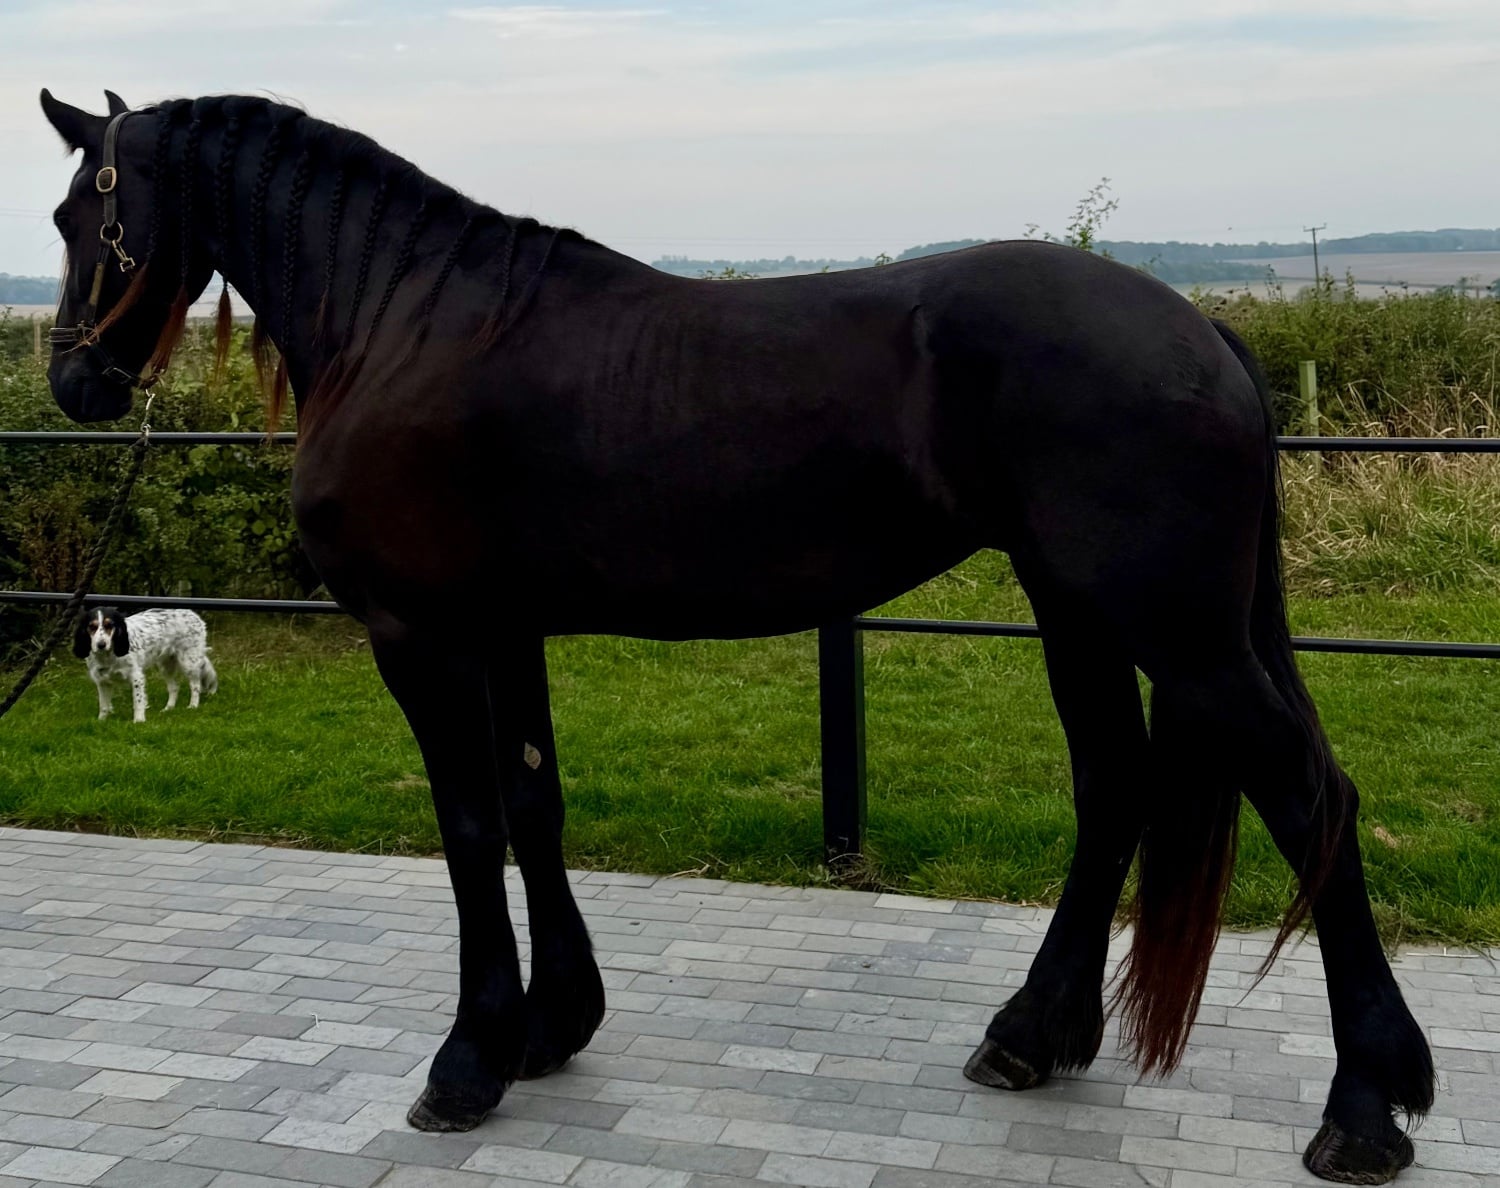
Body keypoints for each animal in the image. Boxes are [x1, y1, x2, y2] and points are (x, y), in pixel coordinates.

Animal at [39, 90, 1434, 1184]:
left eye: (75, 217)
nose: (71, 383)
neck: (408, 324)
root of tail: (1204, 330)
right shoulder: (508, 630)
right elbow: (535, 807)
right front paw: (553, 1027)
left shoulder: (425, 636)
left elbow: (471, 828)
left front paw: (468, 1059)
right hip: (1080, 613)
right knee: (1116, 791)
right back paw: (1030, 1038)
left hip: (1179, 634)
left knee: (1314, 798)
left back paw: (1366, 1107)